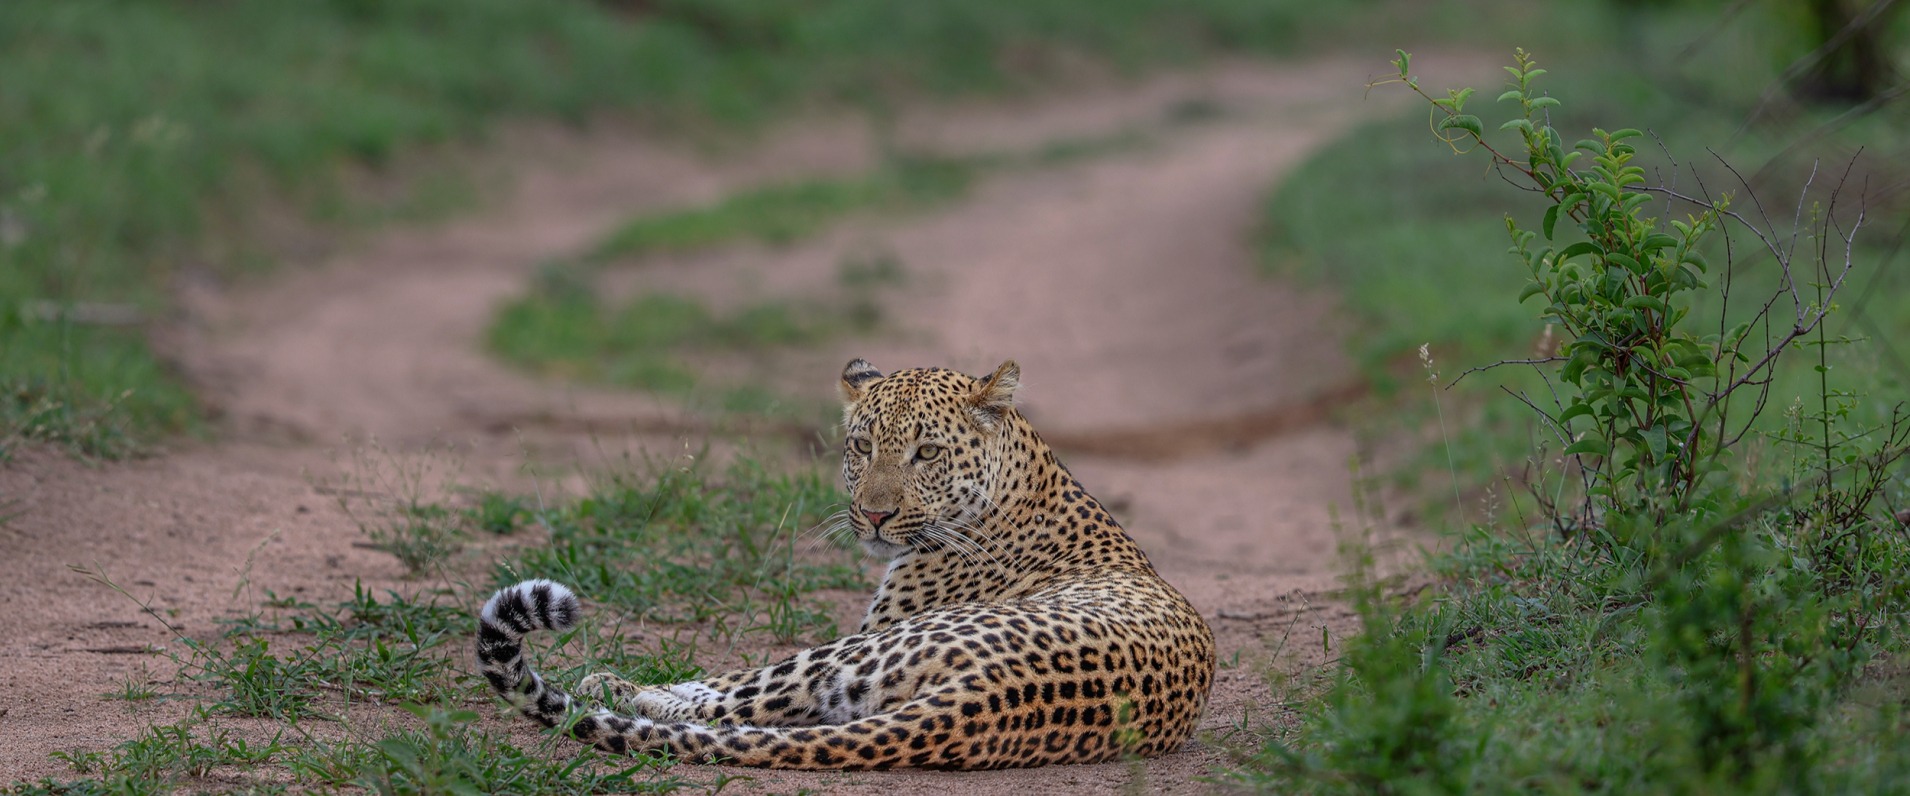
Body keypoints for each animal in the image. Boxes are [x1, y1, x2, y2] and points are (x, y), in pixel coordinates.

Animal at [476, 358, 1215, 770]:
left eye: (927, 452)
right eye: (861, 446)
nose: (876, 515)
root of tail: (988, 699)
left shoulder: (873, 628)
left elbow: (730, 681)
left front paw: (620, 682)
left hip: (873, 647)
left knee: (745, 699)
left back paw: (630, 690)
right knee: (767, 712)